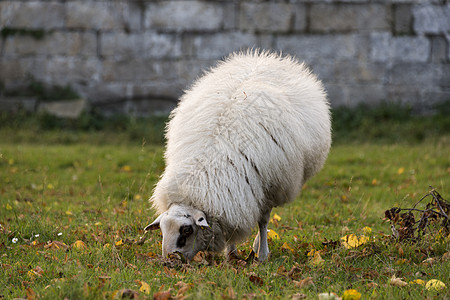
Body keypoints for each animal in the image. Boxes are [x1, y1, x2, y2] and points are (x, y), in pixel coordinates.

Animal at [146, 50, 332, 262]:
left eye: (186, 231)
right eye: (162, 230)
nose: (168, 262)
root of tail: (263, 57)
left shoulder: (268, 185)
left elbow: (263, 221)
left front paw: (262, 254)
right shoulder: (235, 196)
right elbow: (232, 228)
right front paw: (231, 253)